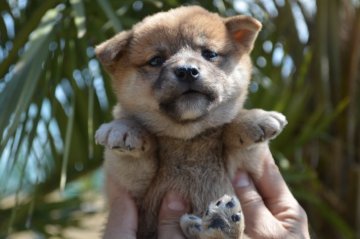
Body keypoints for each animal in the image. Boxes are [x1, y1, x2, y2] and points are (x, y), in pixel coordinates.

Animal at [95, 5, 286, 239]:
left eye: (209, 54)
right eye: (156, 60)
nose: (187, 71)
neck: (188, 139)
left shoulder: (248, 168)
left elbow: (234, 130)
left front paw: (254, 118)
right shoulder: (130, 187)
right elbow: (131, 152)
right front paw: (124, 129)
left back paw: (219, 223)